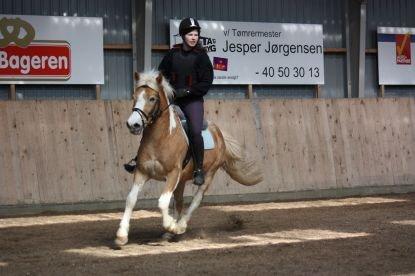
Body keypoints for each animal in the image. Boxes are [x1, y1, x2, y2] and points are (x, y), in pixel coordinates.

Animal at [115, 70, 262, 246]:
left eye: (152, 98)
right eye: (134, 96)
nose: (133, 124)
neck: (161, 138)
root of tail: (218, 132)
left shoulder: (173, 174)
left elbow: (162, 202)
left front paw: (172, 225)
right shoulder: (142, 172)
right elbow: (131, 199)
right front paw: (122, 235)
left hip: (208, 174)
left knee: (196, 199)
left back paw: (180, 226)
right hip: (182, 180)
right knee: (179, 202)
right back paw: (171, 232)